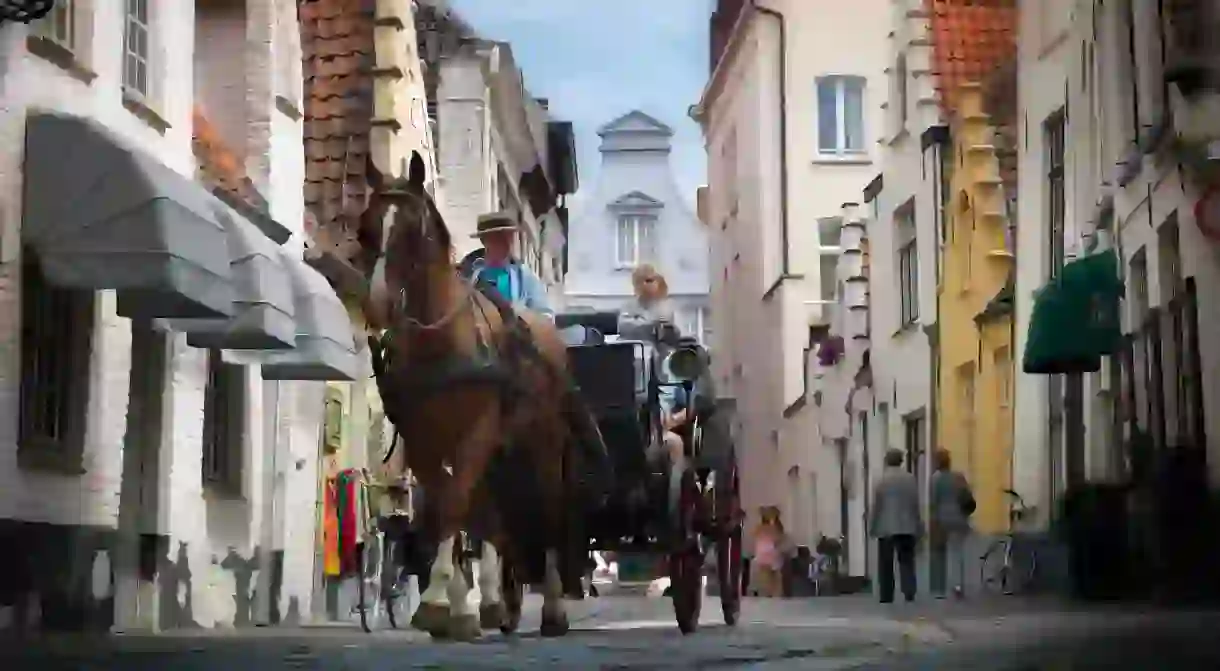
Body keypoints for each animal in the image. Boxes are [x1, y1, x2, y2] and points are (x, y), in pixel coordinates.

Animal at [366, 151, 580, 644]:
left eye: (411, 230)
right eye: (366, 226)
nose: (378, 305)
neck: (441, 341)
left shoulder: (475, 436)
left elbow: (454, 507)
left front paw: (436, 603)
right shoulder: (423, 444)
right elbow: (449, 509)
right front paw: (456, 606)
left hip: (543, 445)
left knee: (548, 514)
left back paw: (552, 609)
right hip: (500, 452)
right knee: (492, 518)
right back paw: (497, 602)